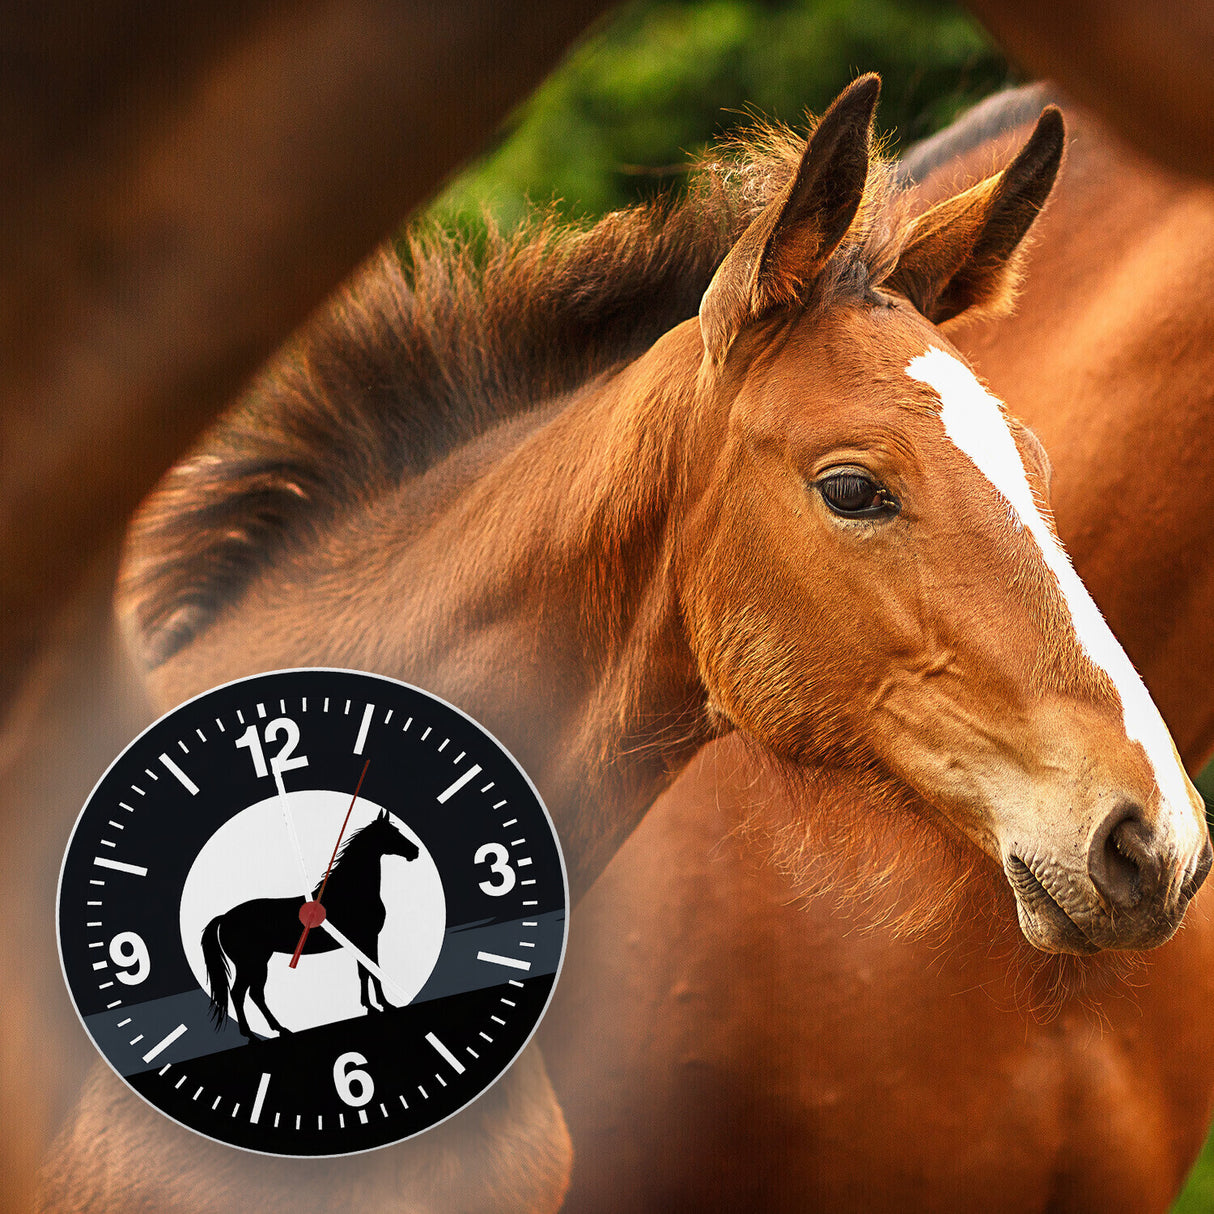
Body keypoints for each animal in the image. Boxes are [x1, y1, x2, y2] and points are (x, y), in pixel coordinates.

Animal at [201, 810, 420, 1038]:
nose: (415, 851)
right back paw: (252, 1034)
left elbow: (364, 973)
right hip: (250, 963)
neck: (351, 893)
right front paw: (385, 1005)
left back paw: (279, 1029)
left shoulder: (360, 942)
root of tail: (224, 917)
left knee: (255, 994)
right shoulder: (368, 938)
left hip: (257, 962)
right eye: (392, 832)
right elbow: (374, 971)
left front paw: (369, 1006)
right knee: (240, 994)